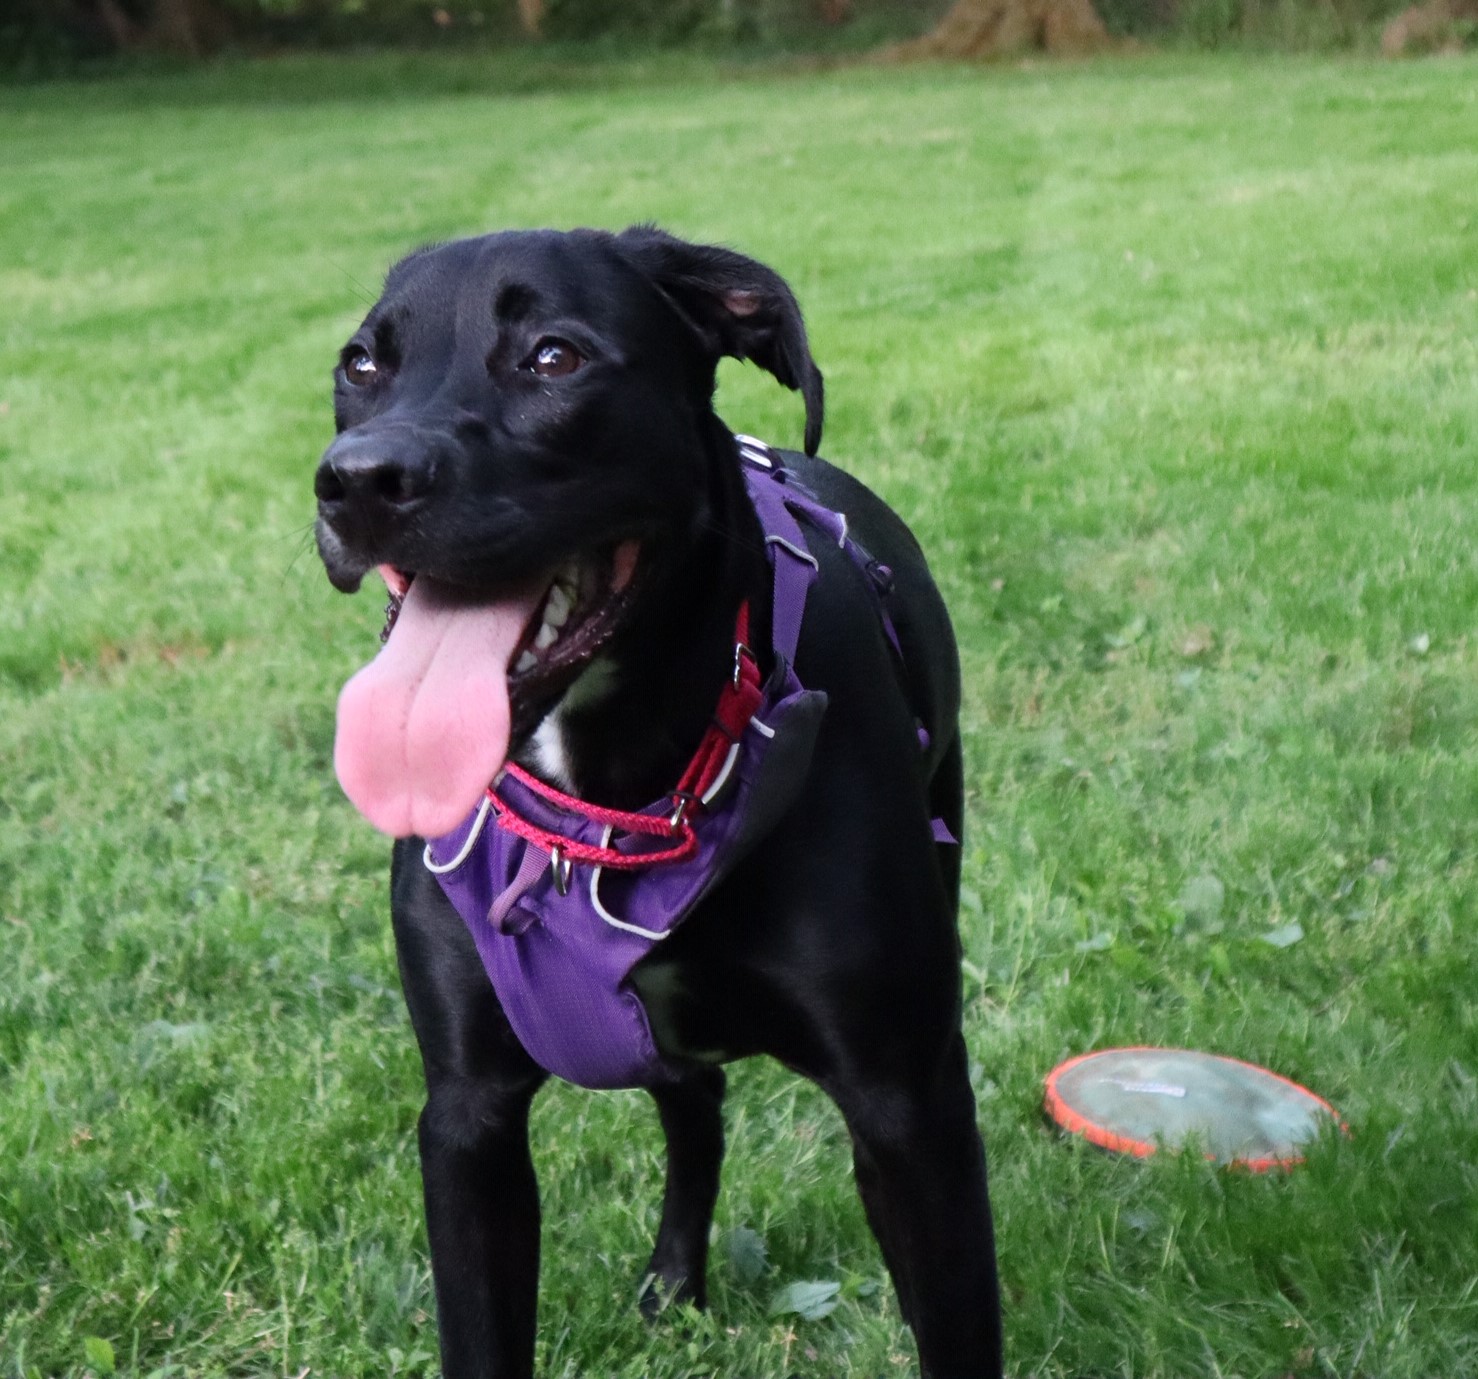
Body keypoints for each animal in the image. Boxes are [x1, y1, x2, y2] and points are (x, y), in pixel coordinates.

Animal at [314, 229, 1005, 1377]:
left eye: (554, 356)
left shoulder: (909, 1110)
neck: (611, 800)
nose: (357, 481)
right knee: (696, 1109)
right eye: (361, 364)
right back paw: (675, 1279)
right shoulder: (467, 1122)